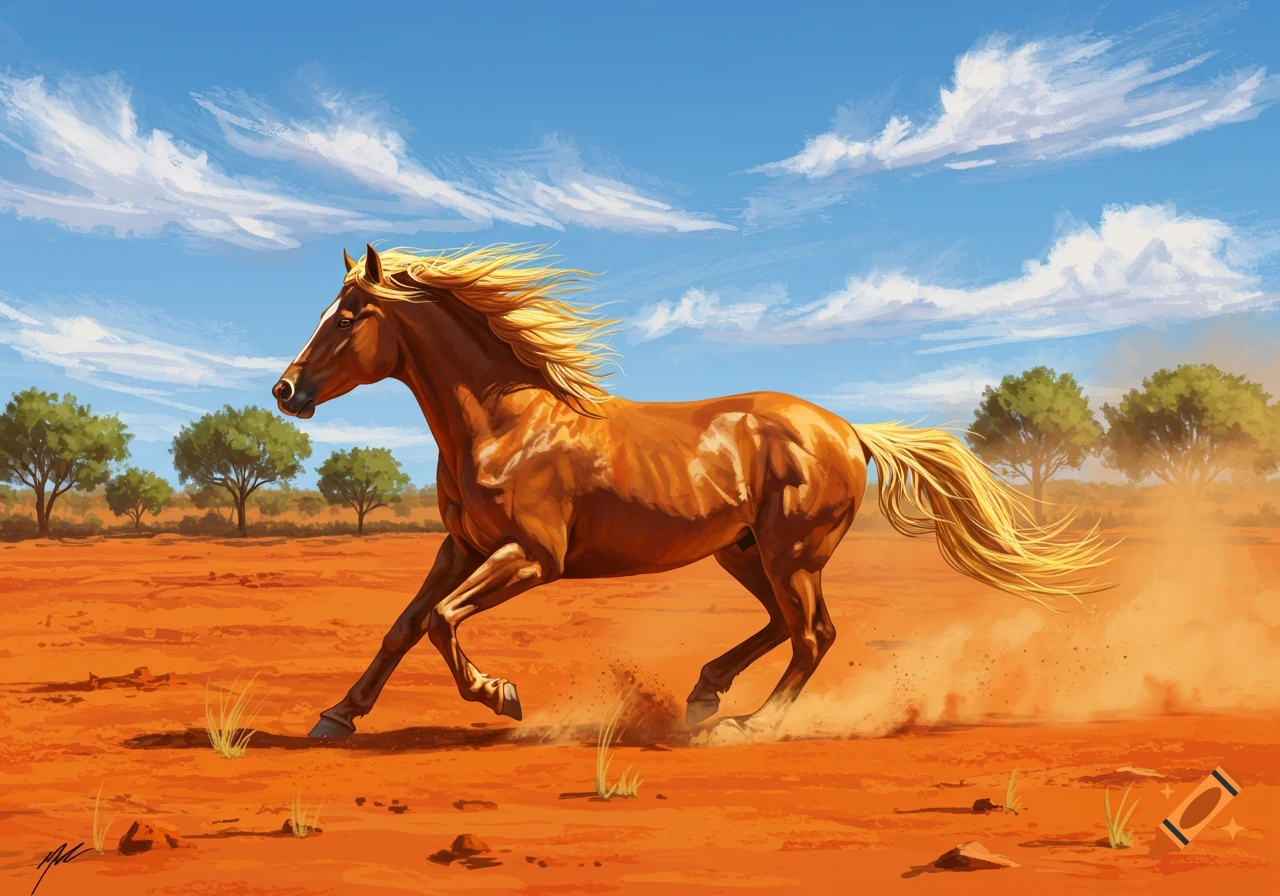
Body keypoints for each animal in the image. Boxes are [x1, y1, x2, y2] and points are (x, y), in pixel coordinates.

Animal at [273, 244, 1108, 741]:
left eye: (349, 316)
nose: (285, 391)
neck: (507, 421)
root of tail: (848, 428)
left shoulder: (532, 556)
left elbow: (443, 622)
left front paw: (501, 694)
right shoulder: (462, 546)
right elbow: (406, 625)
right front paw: (336, 716)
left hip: (789, 553)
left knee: (812, 635)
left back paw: (748, 724)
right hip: (745, 552)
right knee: (789, 626)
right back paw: (705, 693)